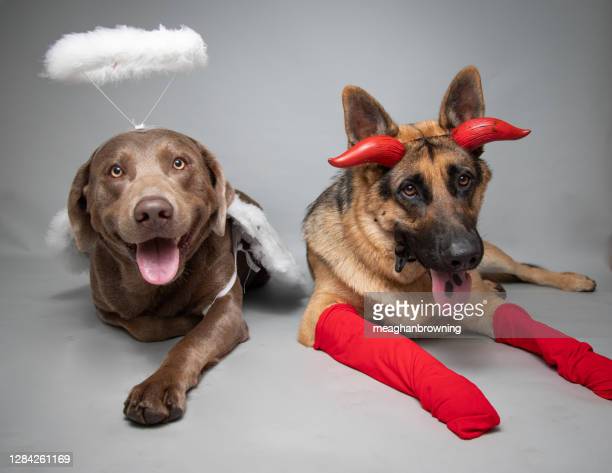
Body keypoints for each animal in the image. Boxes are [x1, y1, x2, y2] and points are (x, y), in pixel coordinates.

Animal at [63, 128, 272, 424]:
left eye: (179, 163)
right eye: (115, 170)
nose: (152, 211)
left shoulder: (226, 307)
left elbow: (193, 341)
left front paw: (158, 386)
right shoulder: (104, 308)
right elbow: (145, 326)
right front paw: (181, 321)